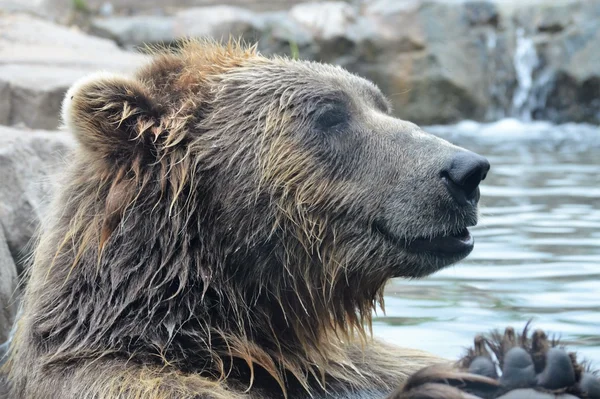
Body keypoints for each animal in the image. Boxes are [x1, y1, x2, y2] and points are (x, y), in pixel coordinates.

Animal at [3, 38, 596, 399]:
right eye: (329, 114)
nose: (466, 170)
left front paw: (529, 361)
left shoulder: (346, 368)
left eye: (378, 103)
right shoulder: (118, 375)